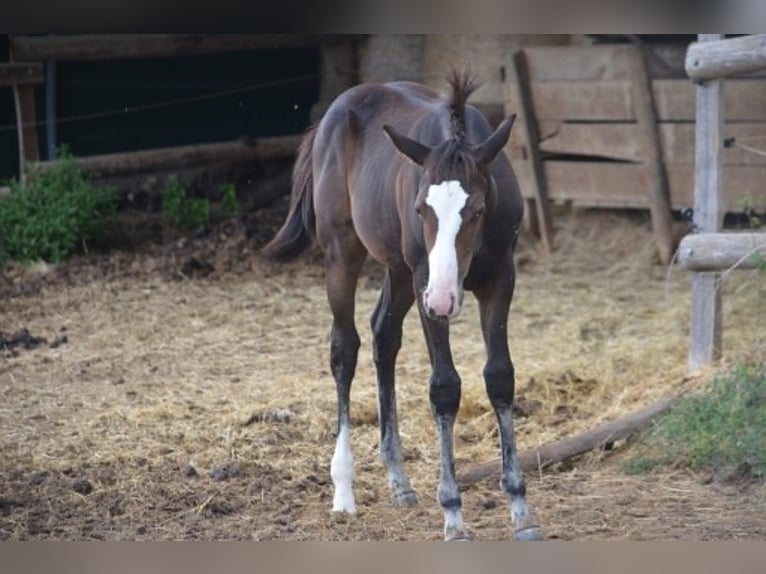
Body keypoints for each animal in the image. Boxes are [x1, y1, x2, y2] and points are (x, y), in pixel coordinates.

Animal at [261, 72, 541, 541]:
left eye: (478, 209)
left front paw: (520, 508)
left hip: (399, 271)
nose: (445, 297)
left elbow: (500, 377)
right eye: (420, 208)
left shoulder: (501, 277)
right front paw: (453, 514)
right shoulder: (426, 279)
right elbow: (444, 387)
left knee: (383, 335)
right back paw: (344, 490)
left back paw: (398, 479)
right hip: (346, 254)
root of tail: (333, 112)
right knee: (344, 348)